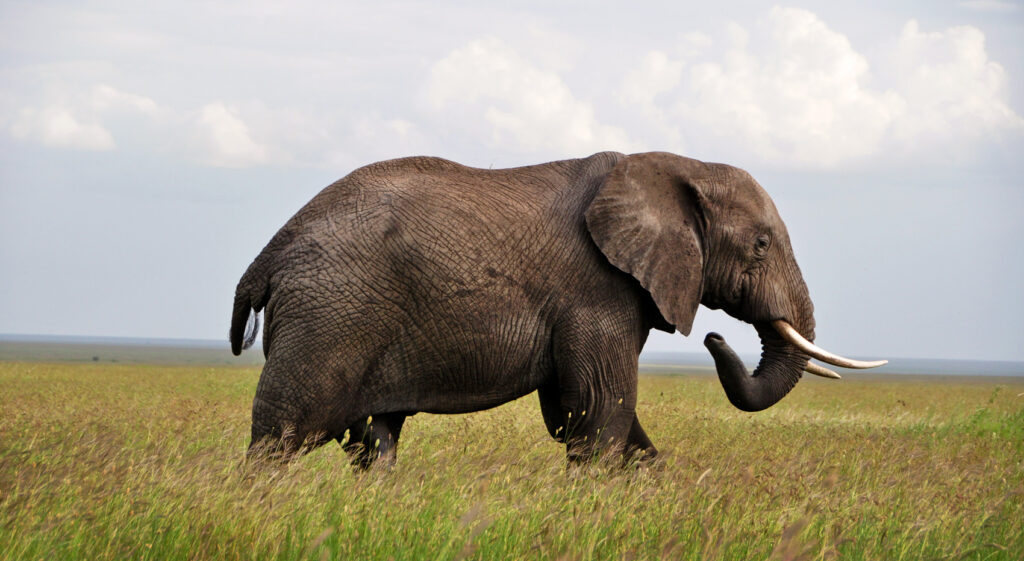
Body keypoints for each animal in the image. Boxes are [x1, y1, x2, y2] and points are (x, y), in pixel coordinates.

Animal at [230, 151, 885, 468]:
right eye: (762, 245)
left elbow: (594, 420)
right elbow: (599, 412)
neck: (677, 167)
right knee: (283, 436)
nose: (714, 341)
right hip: (328, 317)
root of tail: (268, 254)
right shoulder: (596, 289)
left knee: (375, 441)